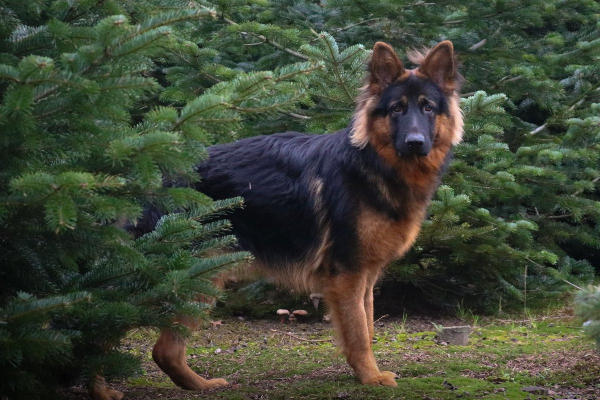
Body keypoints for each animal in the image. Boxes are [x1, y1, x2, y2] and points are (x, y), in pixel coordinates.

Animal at [127, 39, 464, 396]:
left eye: (428, 108)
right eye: (397, 109)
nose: (415, 143)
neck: (372, 165)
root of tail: (148, 177)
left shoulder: (365, 276)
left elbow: (367, 326)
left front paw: (363, 373)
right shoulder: (347, 275)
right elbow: (359, 331)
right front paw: (370, 377)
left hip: (201, 281)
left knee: (164, 350)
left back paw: (200, 385)